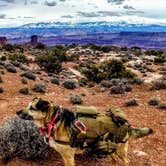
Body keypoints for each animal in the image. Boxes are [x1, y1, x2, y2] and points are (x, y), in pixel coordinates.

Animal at [16, 98, 152, 165]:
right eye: (28, 106)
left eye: (32, 108)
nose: (17, 112)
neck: (54, 120)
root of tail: (127, 124)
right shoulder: (64, 156)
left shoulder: (69, 156)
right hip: (109, 147)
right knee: (114, 161)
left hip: (119, 150)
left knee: (126, 162)